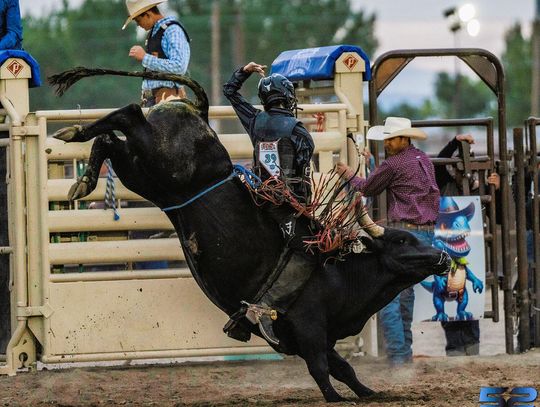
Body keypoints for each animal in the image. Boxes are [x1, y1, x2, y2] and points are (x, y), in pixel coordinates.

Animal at [49, 68, 448, 404]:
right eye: (401, 241)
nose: (441, 257)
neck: (337, 273)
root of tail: (196, 111)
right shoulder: (309, 327)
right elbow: (321, 370)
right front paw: (336, 398)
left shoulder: (313, 337)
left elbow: (343, 367)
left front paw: (369, 392)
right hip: (160, 164)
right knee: (129, 114)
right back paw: (75, 138)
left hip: (142, 173)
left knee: (112, 140)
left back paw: (81, 166)